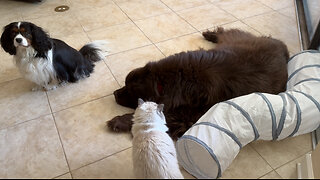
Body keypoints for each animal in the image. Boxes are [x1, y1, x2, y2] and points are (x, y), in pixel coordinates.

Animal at [106, 27, 288, 140]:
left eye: (130, 91)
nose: (115, 93)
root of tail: (283, 47)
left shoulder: (185, 116)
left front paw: (118, 122)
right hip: (233, 40)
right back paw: (210, 34)